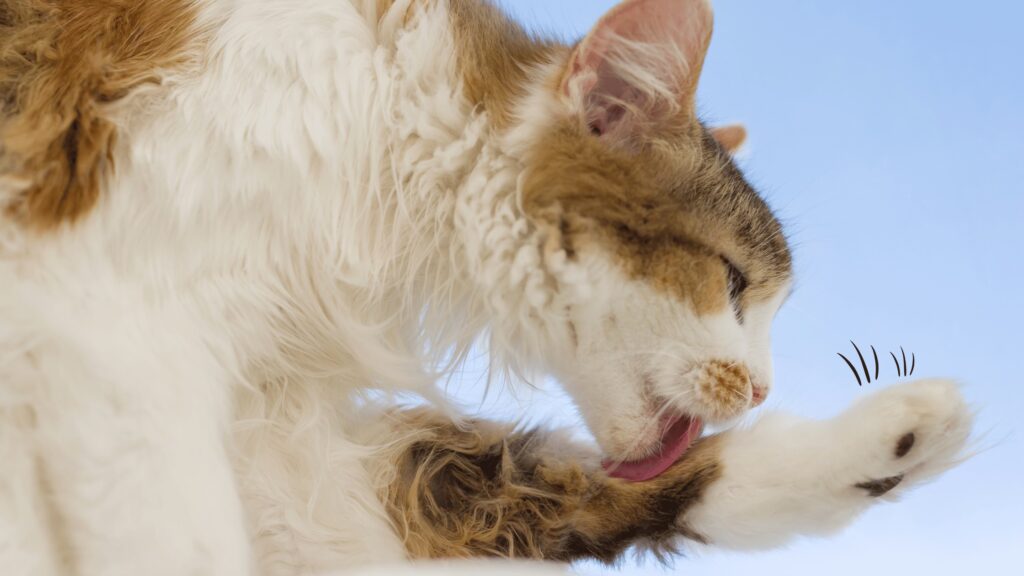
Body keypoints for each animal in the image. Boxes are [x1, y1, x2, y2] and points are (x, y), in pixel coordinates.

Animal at [0, 0, 974, 569]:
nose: (766, 386)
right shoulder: (119, 332)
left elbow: (573, 484)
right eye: (732, 282)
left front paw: (889, 439)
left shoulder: (290, 439)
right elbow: (179, 542)